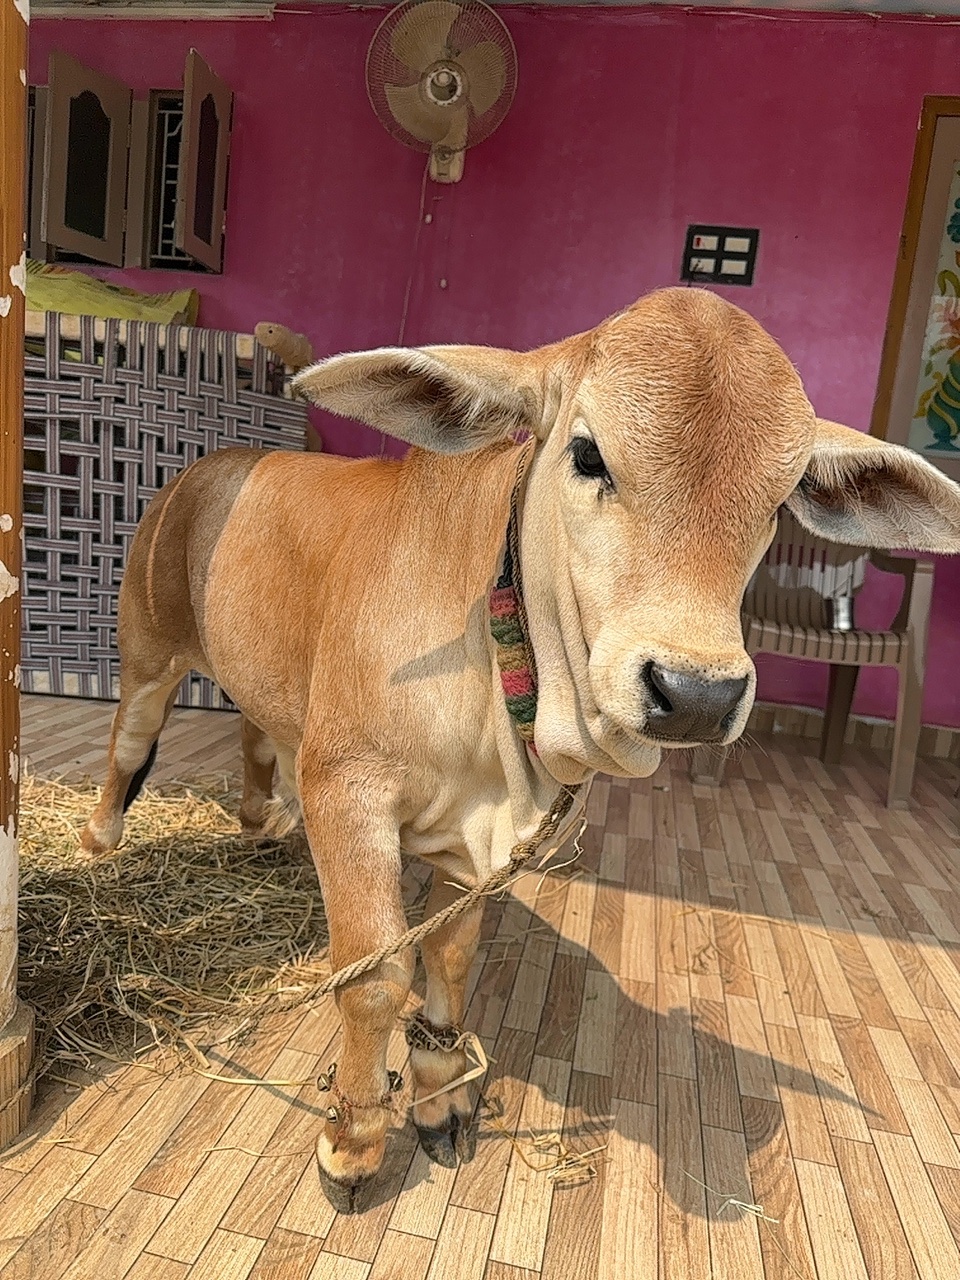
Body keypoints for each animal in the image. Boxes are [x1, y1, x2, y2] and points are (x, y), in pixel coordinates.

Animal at [80, 287, 960, 1212]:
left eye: (780, 500)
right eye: (587, 454)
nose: (697, 695)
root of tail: (217, 464)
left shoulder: (481, 846)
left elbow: (449, 960)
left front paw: (438, 1101)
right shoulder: (348, 789)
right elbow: (375, 978)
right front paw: (353, 1138)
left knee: (257, 737)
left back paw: (257, 822)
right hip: (148, 654)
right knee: (129, 746)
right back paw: (99, 842)